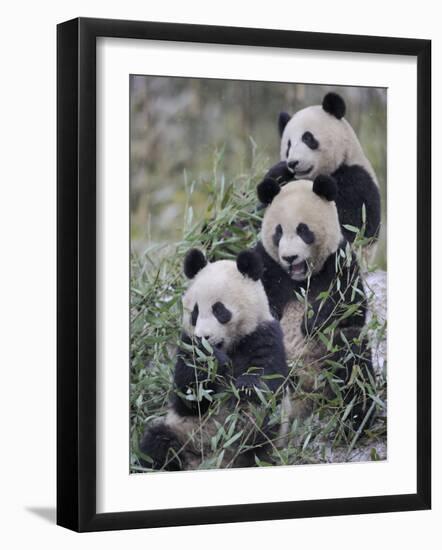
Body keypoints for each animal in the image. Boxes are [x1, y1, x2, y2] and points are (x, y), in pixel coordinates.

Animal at [140, 249, 288, 470]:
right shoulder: (187, 345)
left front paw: (245, 388)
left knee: (260, 426)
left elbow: (267, 378)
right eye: (195, 312)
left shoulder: (264, 334)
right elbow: (189, 395)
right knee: (156, 443)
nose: (204, 337)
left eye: (219, 310)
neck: (229, 346)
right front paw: (213, 362)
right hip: (182, 432)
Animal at [254, 177, 374, 432]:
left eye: (303, 230)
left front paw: (310, 322)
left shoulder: (340, 261)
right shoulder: (266, 264)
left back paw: (356, 423)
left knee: (352, 358)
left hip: (328, 362)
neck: (300, 279)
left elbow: (351, 306)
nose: (290, 258)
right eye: (278, 232)